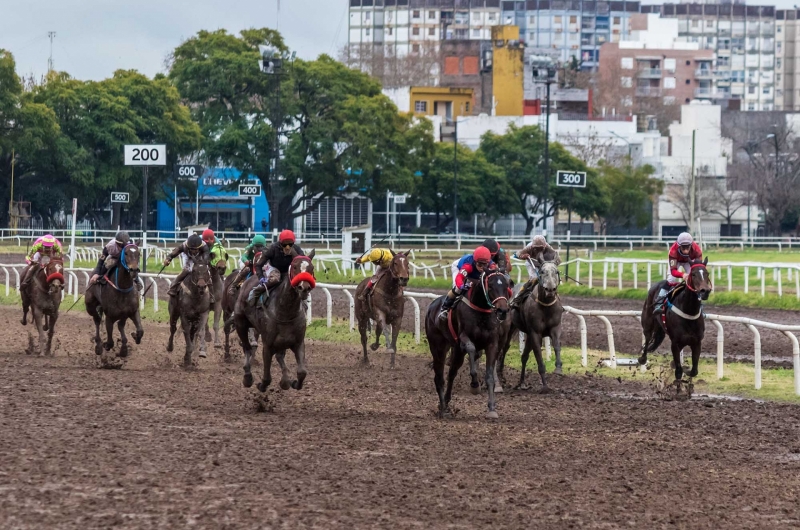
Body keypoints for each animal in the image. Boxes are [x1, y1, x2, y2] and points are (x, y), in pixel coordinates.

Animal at [234, 252, 316, 392]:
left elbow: (302, 372)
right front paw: (261, 385)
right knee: (247, 348)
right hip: (241, 323)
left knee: (279, 356)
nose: (304, 288)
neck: (286, 312)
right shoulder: (268, 345)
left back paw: (285, 380)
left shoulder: (298, 342)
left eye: (311, 268)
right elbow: (267, 377)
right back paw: (248, 376)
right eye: (295, 266)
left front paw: (294, 382)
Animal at [424, 268, 512, 416]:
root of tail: (432, 306)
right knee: (439, 377)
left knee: (452, 373)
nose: (503, 311)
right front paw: (475, 385)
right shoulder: (464, 339)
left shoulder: (492, 344)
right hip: (438, 347)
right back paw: (443, 409)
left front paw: (492, 408)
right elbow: (471, 349)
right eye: (491, 286)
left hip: (456, 352)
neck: (480, 310)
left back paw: (446, 402)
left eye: (506, 286)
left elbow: (489, 375)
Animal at [636, 256, 712, 384]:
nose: (705, 291)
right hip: (647, 322)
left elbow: (694, 371)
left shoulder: (697, 342)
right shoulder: (675, 343)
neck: (689, 312)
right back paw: (642, 359)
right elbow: (678, 372)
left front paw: (687, 371)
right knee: (647, 339)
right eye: (693, 274)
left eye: (707, 273)